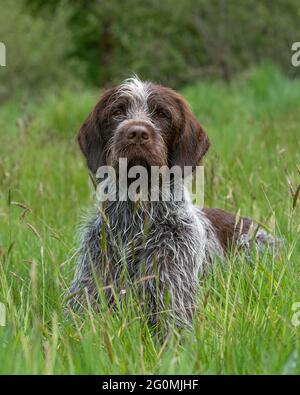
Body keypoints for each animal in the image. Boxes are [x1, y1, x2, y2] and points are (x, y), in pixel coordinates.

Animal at [67, 76, 278, 332]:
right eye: (117, 112)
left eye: (162, 114)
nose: (137, 133)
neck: (137, 217)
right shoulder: (88, 293)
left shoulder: (173, 297)